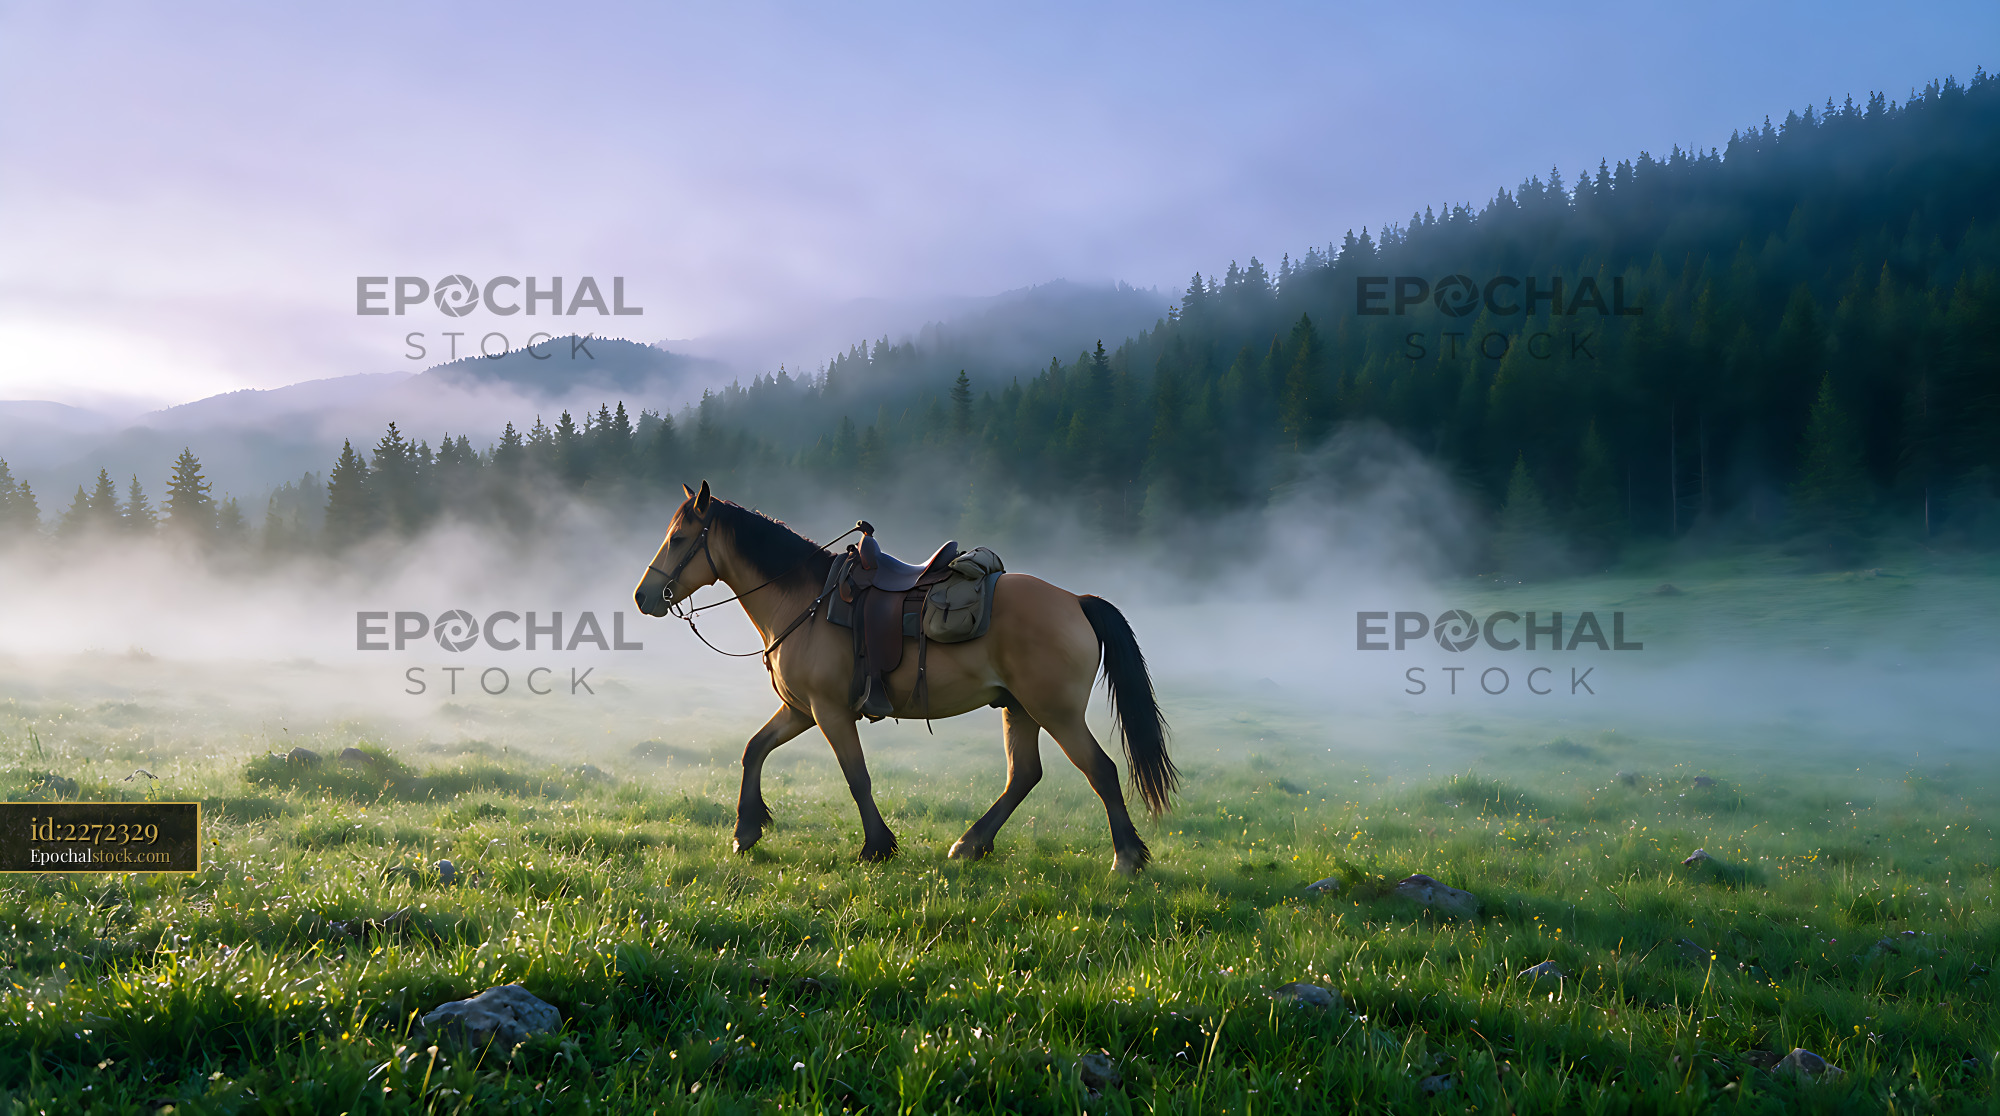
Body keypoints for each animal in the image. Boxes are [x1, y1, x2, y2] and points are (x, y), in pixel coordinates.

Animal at [633, 481, 1177, 873]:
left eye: (678, 539)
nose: (643, 596)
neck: (805, 601)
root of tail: (1076, 601)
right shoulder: (800, 710)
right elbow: (754, 750)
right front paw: (746, 830)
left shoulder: (829, 712)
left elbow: (857, 777)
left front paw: (876, 847)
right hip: (1019, 708)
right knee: (1024, 775)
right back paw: (971, 844)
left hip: (1055, 712)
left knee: (1100, 771)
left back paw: (1126, 857)